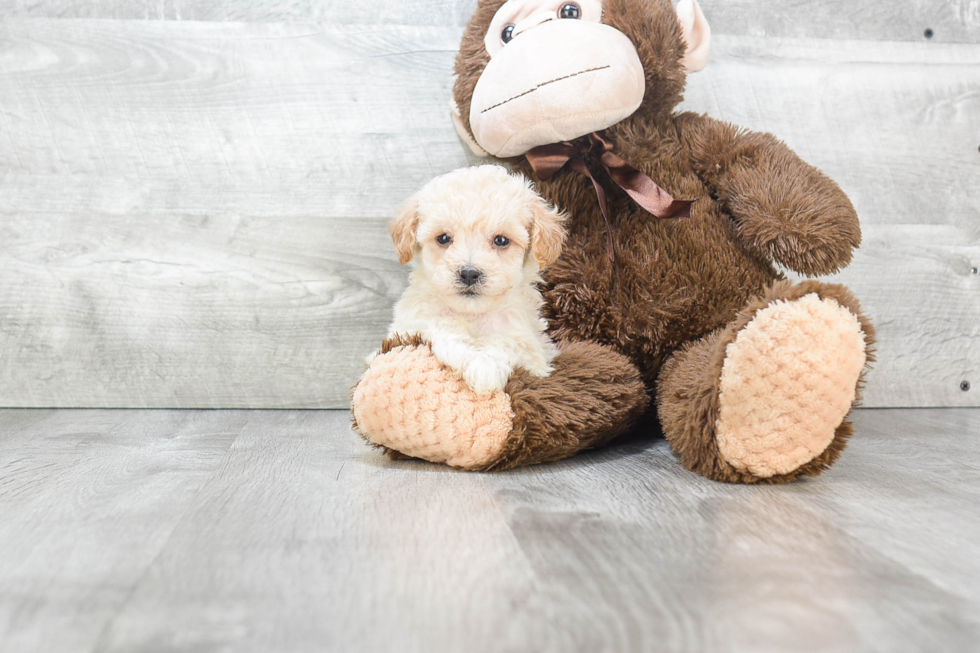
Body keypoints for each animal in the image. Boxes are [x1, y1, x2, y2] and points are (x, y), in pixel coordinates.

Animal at [382, 166, 568, 394]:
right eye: (443, 238)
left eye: (501, 240)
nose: (469, 273)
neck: (472, 314)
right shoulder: (408, 326)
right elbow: (439, 326)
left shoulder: (534, 350)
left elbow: (507, 341)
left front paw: (484, 366)